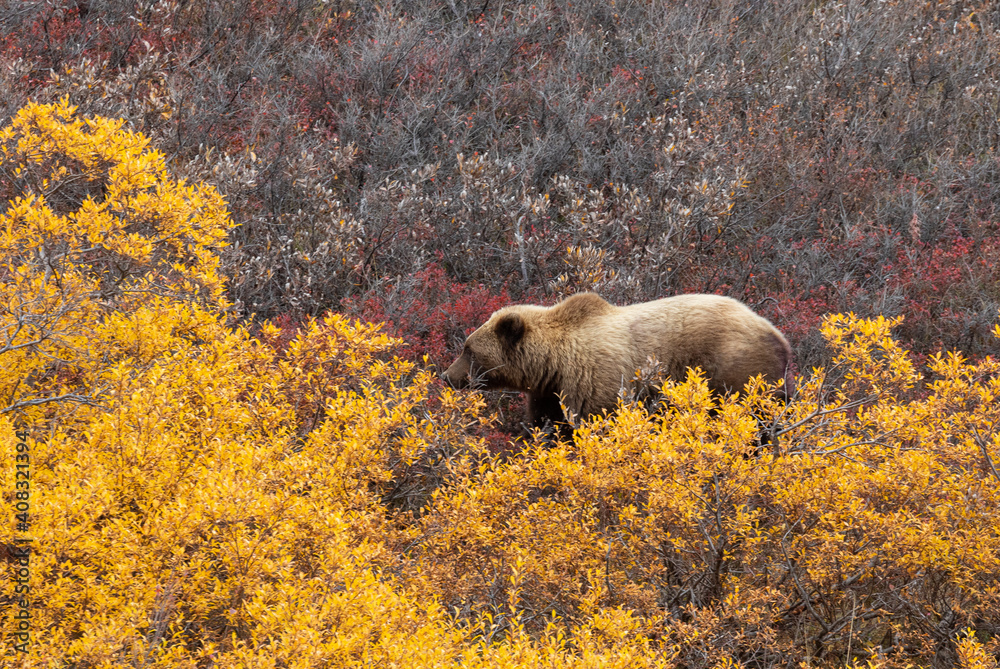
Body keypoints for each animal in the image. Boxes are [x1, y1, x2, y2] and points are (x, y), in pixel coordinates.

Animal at [442, 294, 792, 430]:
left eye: (468, 350)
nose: (447, 375)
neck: (552, 364)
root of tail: (781, 338)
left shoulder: (597, 384)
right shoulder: (549, 393)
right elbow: (551, 428)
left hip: (736, 373)